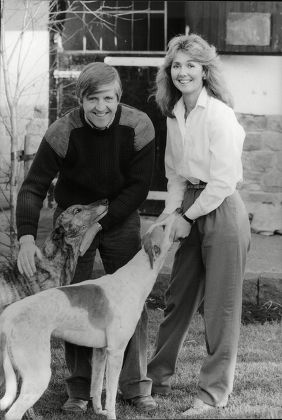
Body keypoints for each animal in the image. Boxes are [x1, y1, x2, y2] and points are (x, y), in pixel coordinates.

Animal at [0, 213, 177, 420]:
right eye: (163, 226)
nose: (179, 211)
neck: (135, 277)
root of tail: (9, 313)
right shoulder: (116, 352)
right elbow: (111, 395)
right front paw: (111, 415)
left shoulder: (100, 351)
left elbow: (97, 386)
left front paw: (99, 411)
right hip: (38, 374)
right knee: (13, 413)